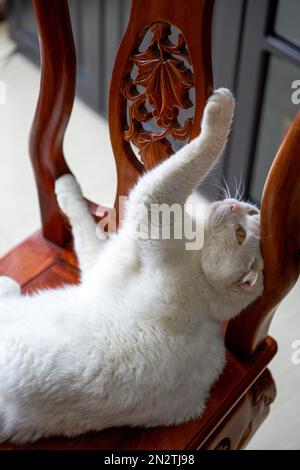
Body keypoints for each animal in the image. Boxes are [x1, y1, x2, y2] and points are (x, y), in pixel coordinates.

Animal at [0, 89, 262, 444]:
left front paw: (222, 109)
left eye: (240, 235)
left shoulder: (152, 201)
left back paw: (8, 285)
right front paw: (66, 186)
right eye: (251, 215)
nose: (236, 206)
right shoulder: (100, 264)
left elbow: (198, 154)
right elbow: (83, 224)